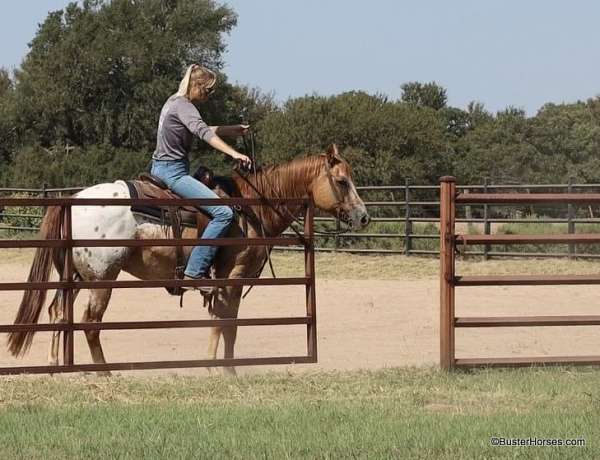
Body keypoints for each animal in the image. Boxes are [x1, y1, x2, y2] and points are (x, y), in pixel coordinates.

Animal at [7, 146, 368, 376]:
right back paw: (104, 373)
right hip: (102, 278)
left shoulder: (221, 281)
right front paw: (225, 369)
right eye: (342, 181)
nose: (363, 217)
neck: (251, 205)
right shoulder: (232, 274)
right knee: (90, 323)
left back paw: (57, 368)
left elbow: (219, 321)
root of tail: (73, 200)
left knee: (57, 312)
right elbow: (228, 323)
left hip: (77, 276)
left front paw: (215, 365)